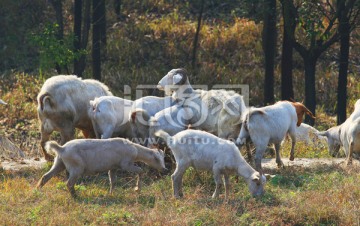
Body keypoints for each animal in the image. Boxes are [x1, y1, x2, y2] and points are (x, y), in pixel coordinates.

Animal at [36, 138, 166, 196]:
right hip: (76, 168)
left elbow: (112, 181)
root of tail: (62, 148)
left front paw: (111, 193)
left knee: (46, 176)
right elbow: (140, 171)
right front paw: (137, 189)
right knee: (69, 183)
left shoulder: (113, 167)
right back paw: (76, 196)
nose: (165, 169)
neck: (135, 150)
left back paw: (38, 190)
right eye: (157, 159)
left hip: (59, 163)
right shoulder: (126, 164)